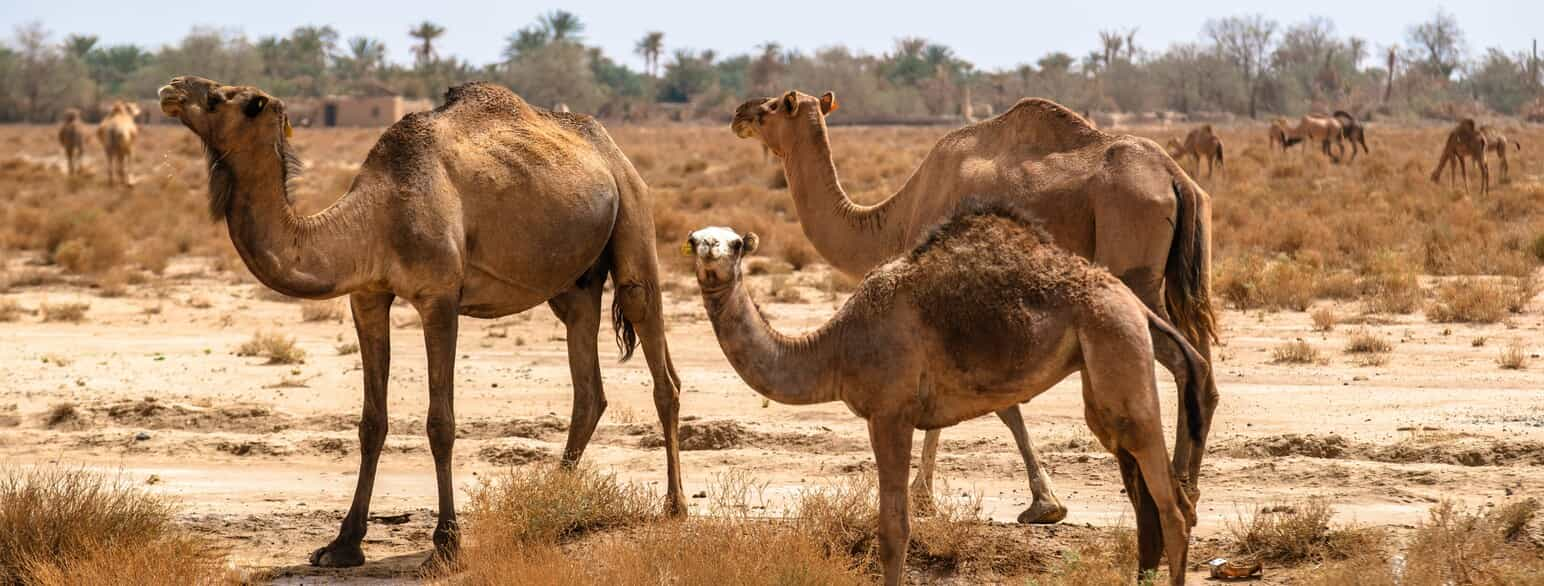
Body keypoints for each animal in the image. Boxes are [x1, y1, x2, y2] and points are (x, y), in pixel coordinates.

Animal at [159, 76, 685, 567]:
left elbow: (440, 423)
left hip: (634, 221)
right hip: (572, 284)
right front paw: (343, 544)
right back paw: (552, 502)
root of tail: (609, 147)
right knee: (588, 388)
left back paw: (674, 507)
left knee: (661, 369)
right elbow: (372, 422)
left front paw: (447, 545)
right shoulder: (367, 296)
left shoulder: (439, 298)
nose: (172, 89)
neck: (374, 217)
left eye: (237, 100)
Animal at [685, 211, 1204, 586]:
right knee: (1148, 496)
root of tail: (1134, 303)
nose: (710, 249)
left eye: (735, 243)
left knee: (1172, 505)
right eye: (694, 239)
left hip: (1116, 340)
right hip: (1104, 369)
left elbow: (894, 530)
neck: (837, 346)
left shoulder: (890, 412)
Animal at [731, 90, 1216, 527]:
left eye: (774, 105)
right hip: (1177, 276)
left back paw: (1179, 487)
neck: (896, 217)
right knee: (1200, 358)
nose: (739, 113)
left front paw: (1023, 503)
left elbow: (1000, 406)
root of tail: (1177, 180)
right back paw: (1188, 486)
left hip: (1133, 266)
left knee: (1183, 358)